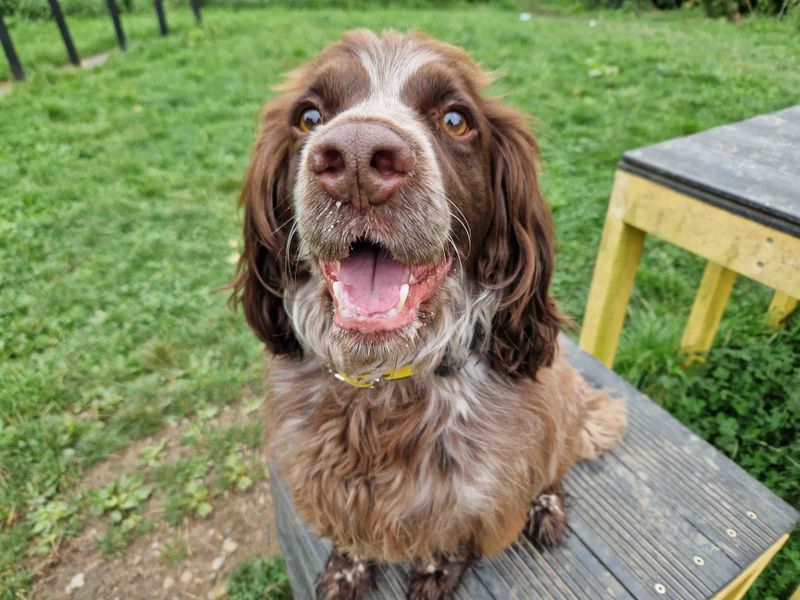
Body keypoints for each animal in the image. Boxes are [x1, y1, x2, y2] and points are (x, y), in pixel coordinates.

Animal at [231, 29, 624, 600]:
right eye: (308, 116)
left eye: (456, 119)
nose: (355, 159)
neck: (380, 390)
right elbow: (352, 536)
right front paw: (348, 568)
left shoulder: (474, 489)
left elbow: (449, 533)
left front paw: (436, 570)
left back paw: (546, 507)